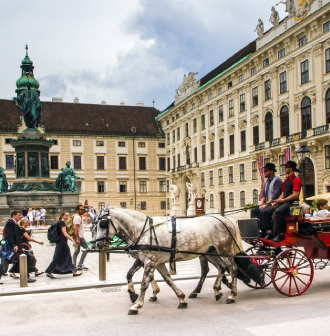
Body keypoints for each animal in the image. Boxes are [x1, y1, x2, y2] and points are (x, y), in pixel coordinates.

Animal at [90, 205, 242, 316]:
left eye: (102, 224)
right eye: (93, 226)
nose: (95, 245)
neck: (143, 230)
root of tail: (225, 219)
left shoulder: (150, 261)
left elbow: (144, 283)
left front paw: (137, 305)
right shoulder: (153, 261)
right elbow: (165, 279)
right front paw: (181, 298)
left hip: (224, 250)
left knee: (232, 269)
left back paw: (232, 294)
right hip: (210, 252)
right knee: (221, 267)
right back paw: (216, 290)